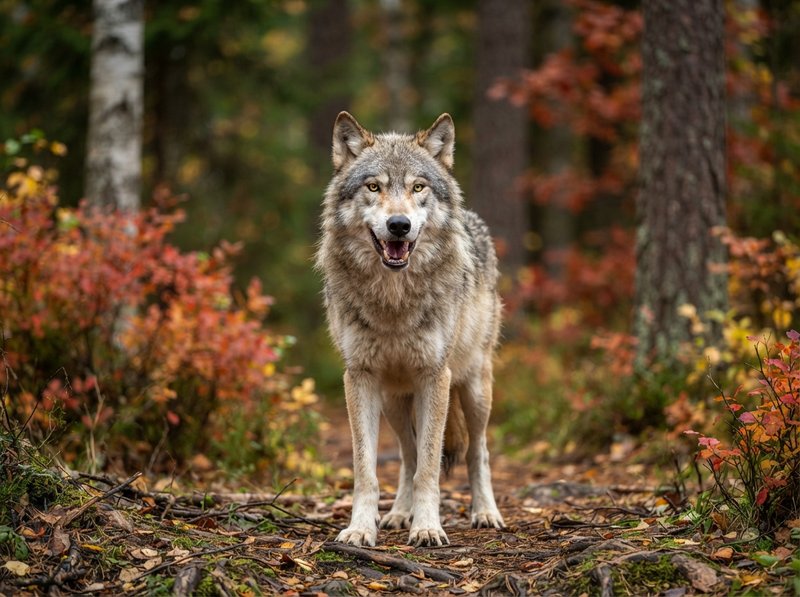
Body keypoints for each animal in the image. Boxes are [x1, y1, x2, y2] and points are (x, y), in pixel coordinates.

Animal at [316, 112, 504, 547]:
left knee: (478, 451)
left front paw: (428, 527)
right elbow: (368, 469)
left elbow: (431, 468)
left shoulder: (434, 376)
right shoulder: (360, 378)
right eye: (374, 186)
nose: (399, 225)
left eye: (418, 187)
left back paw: (485, 513)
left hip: (474, 389)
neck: (394, 302)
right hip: (394, 401)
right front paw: (360, 529)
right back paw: (399, 513)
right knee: (407, 453)